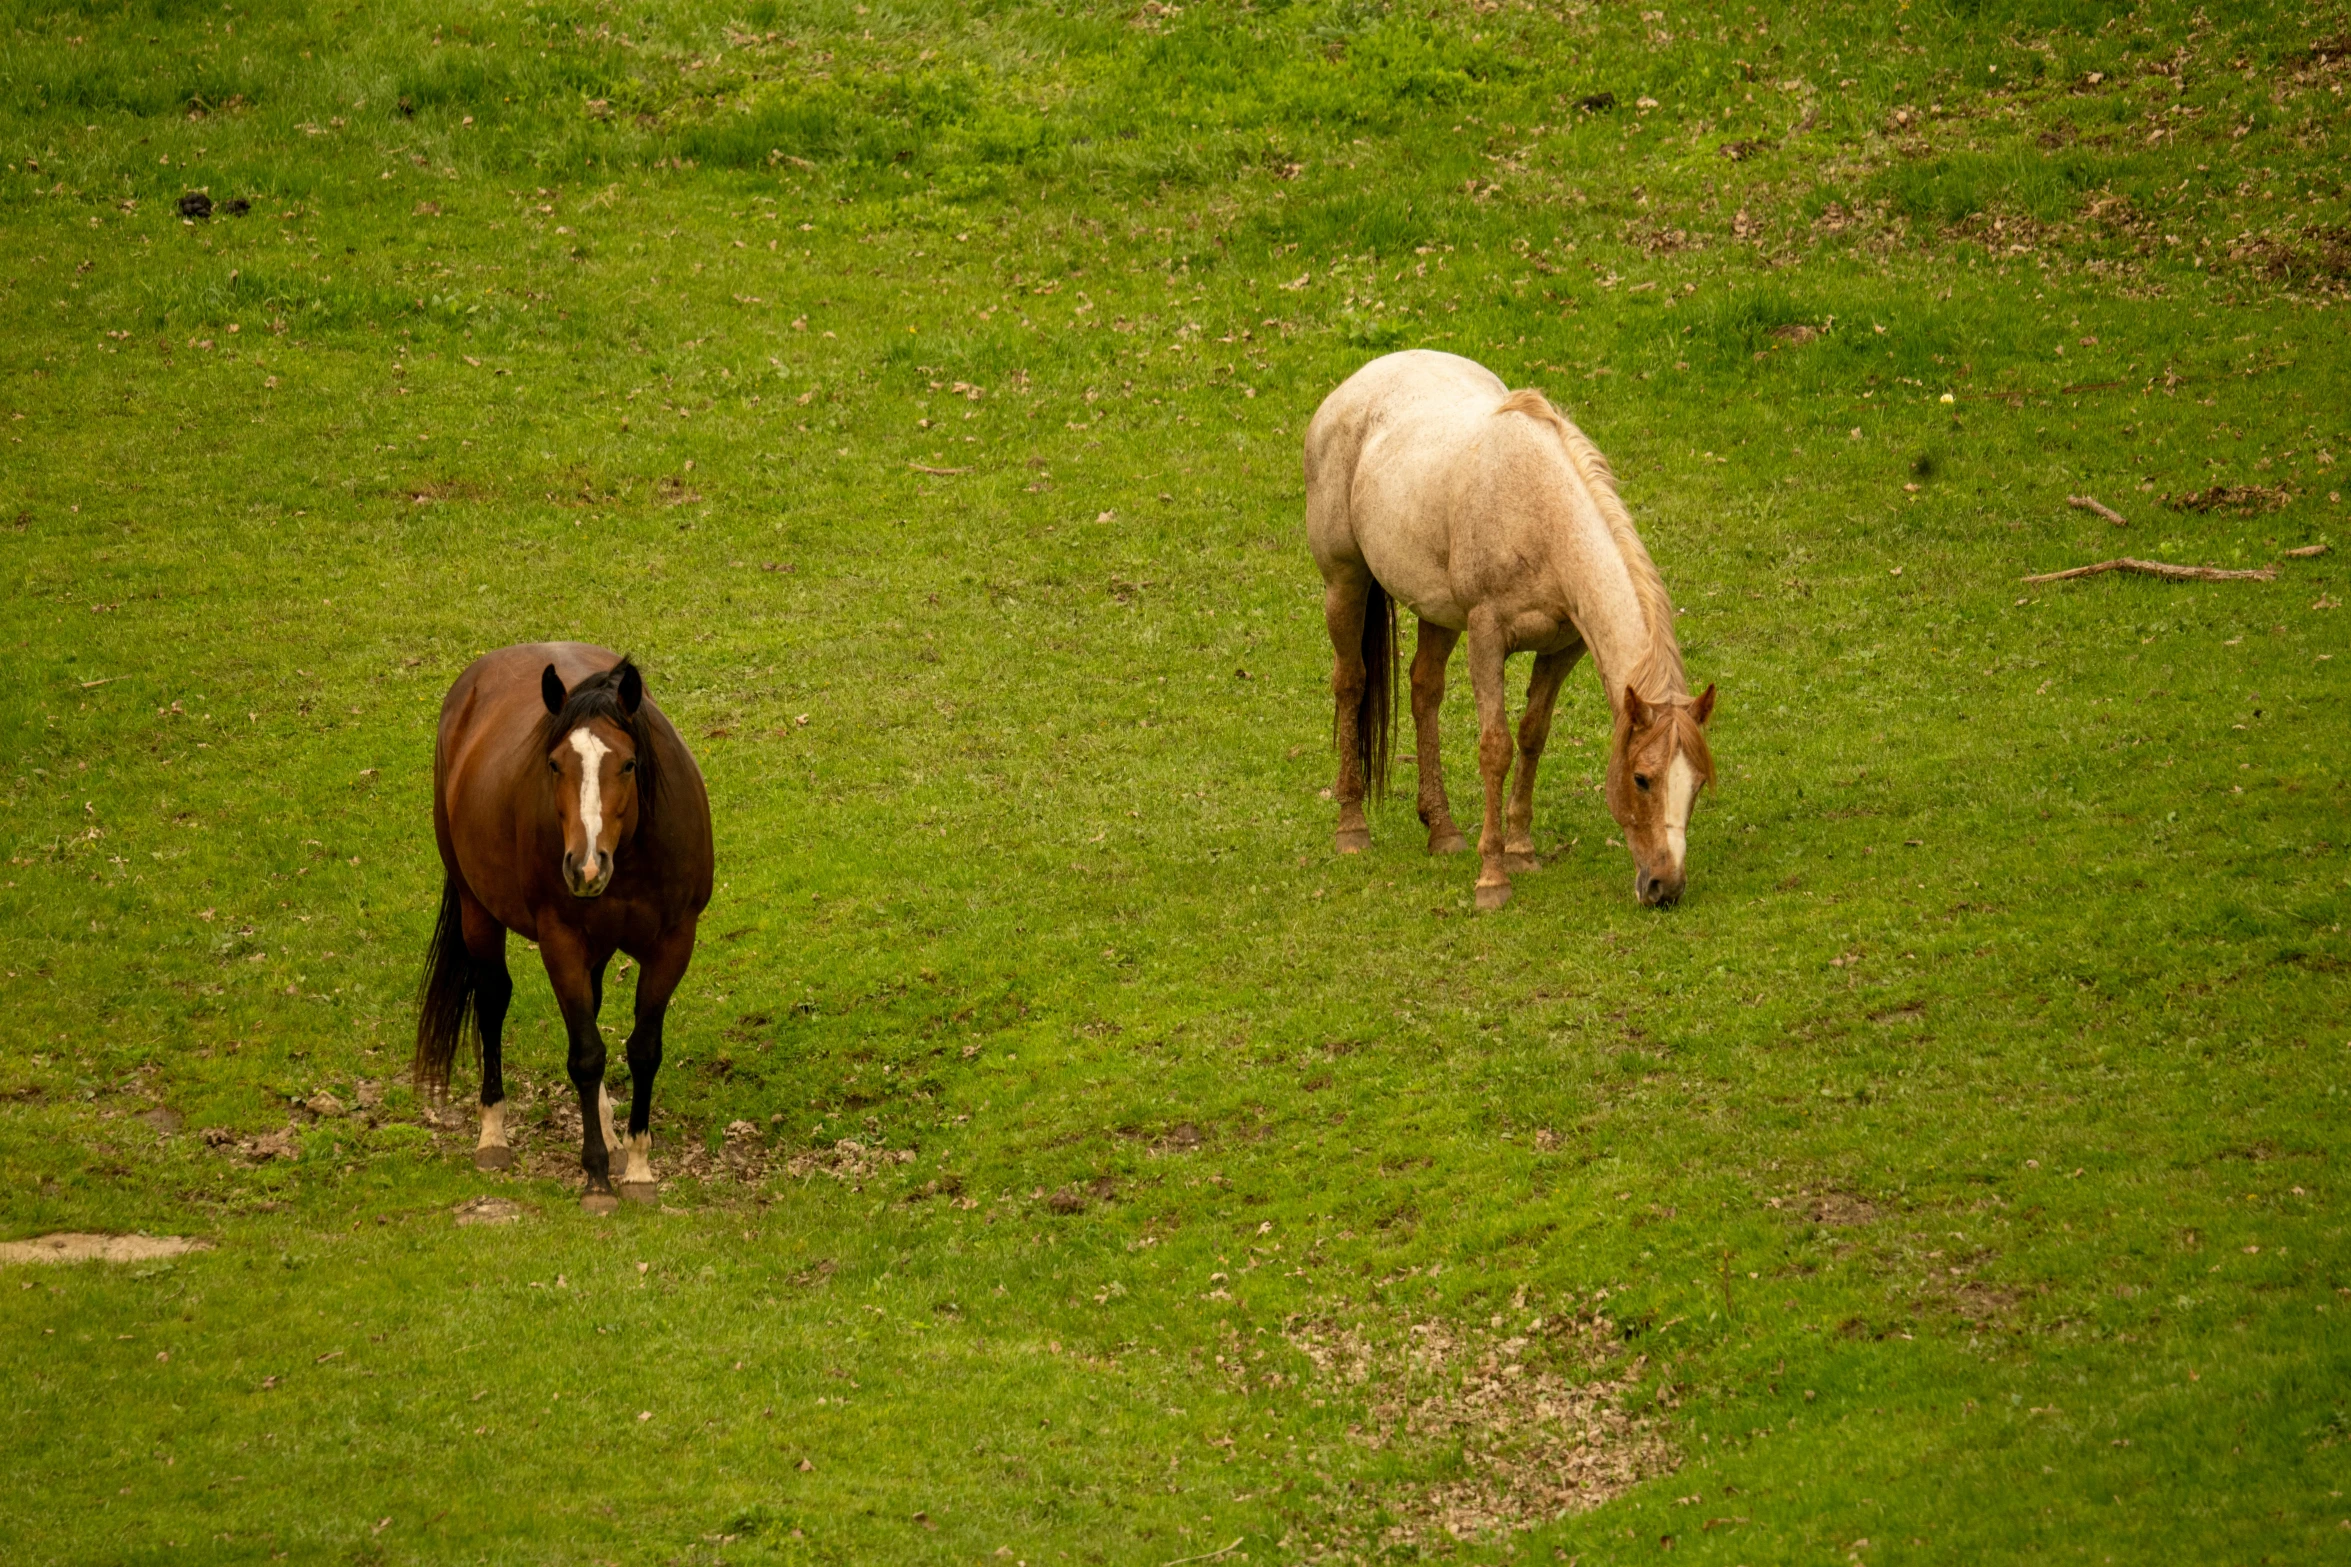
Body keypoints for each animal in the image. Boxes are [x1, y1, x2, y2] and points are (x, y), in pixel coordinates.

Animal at [413, 643, 710, 1212]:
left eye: (629, 764)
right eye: (554, 764)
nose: (584, 866)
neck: (631, 856)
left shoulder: (674, 944)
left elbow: (643, 1049)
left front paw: (637, 1167)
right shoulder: (562, 943)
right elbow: (587, 1055)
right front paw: (595, 1178)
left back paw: (611, 1138)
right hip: (476, 908)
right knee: (492, 1003)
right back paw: (493, 1136)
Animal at [1297, 345, 1720, 906]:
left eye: (1696, 784)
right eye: (1642, 778)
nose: (1665, 887)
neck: (1539, 513)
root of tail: (1352, 386)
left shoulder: (1562, 649)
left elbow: (1532, 735)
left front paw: (1520, 849)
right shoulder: (1487, 636)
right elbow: (1494, 748)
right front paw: (1492, 878)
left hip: (1436, 612)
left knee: (1424, 690)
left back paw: (1443, 829)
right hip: (1345, 583)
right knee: (1351, 683)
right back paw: (1352, 827)